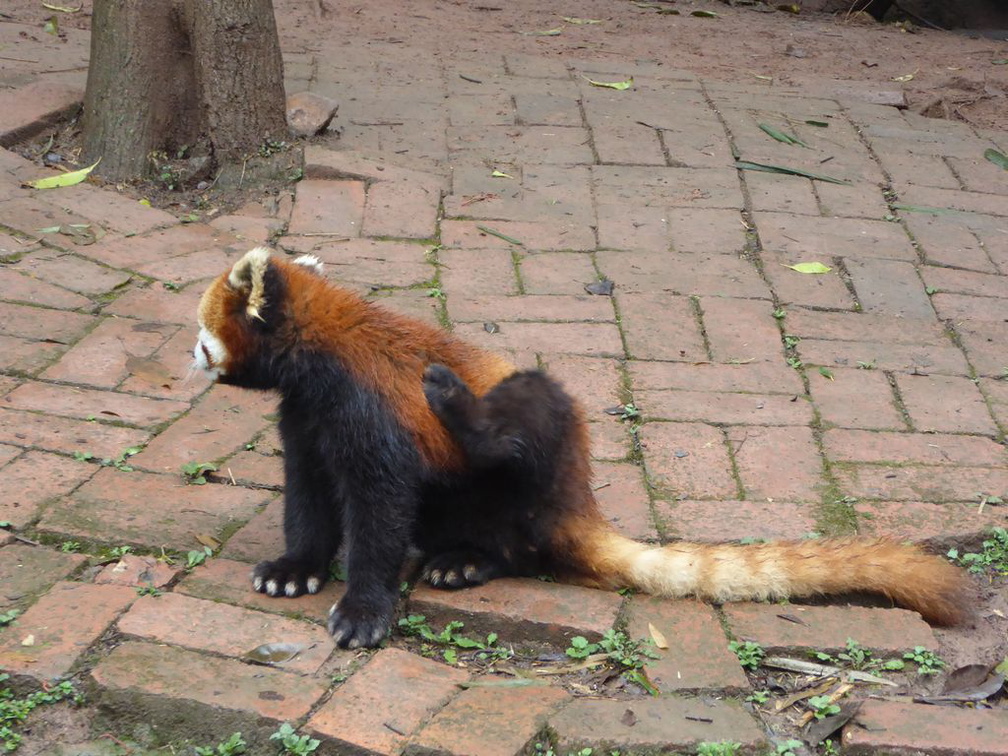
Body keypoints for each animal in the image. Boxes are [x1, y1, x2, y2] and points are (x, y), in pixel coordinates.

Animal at [192, 249, 971, 653]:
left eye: (202, 335)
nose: (189, 359)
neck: (322, 355)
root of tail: (577, 500)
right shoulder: (308, 421)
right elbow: (309, 496)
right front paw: (294, 569)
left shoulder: (370, 412)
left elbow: (379, 510)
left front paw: (361, 610)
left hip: (541, 451)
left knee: (520, 439)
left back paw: (467, 518)